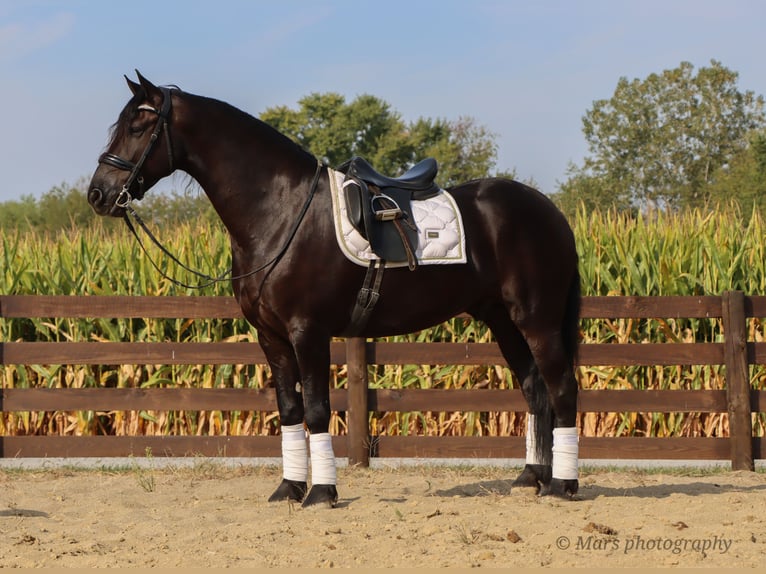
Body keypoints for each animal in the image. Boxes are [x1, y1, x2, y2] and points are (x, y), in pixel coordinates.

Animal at [88, 71, 582, 508]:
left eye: (138, 126)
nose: (98, 194)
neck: (281, 211)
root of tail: (550, 212)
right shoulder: (271, 336)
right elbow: (289, 410)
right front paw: (289, 488)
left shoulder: (309, 332)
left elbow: (317, 410)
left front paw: (322, 493)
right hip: (502, 320)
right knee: (534, 388)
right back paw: (531, 478)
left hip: (537, 319)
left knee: (561, 387)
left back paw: (562, 485)